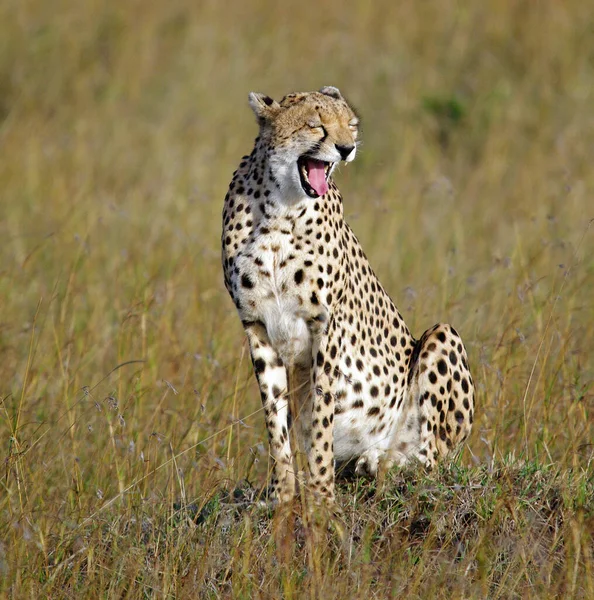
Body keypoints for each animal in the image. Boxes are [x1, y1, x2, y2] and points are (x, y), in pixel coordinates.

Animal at [220, 86, 474, 504]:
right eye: (315, 124)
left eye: (350, 125)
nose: (347, 148)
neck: (278, 208)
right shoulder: (256, 326)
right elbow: (276, 419)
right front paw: (283, 492)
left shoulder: (326, 325)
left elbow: (322, 416)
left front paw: (322, 493)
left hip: (442, 336)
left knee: (432, 459)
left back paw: (385, 460)